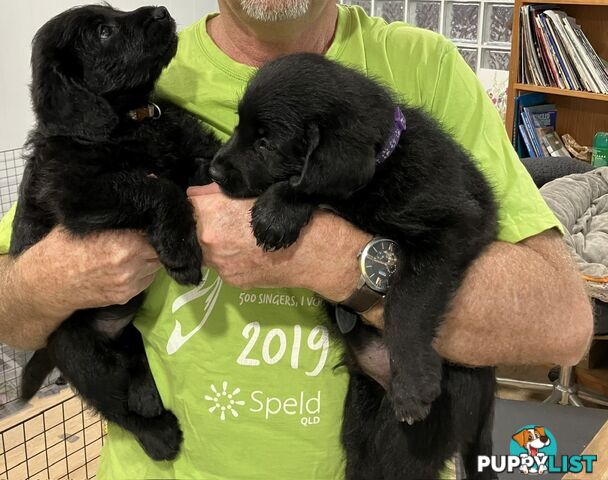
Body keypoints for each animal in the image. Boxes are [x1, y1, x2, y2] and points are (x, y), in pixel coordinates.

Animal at [11, 4, 218, 462]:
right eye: (103, 32)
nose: (162, 11)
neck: (133, 120)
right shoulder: (79, 191)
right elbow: (154, 186)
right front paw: (180, 250)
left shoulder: (186, 153)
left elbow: (207, 162)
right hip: (78, 350)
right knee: (111, 401)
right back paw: (158, 434)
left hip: (128, 329)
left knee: (134, 360)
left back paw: (146, 392)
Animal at [211, 54, 496, 478]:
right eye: (238, 126)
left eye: (265, 143)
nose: (213, 171)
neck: (386, 162)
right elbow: (319, 187)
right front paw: (283, 207)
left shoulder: (450, 231)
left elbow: (407, 306)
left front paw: (413, 383)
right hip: (360, 421)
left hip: (418, 436)